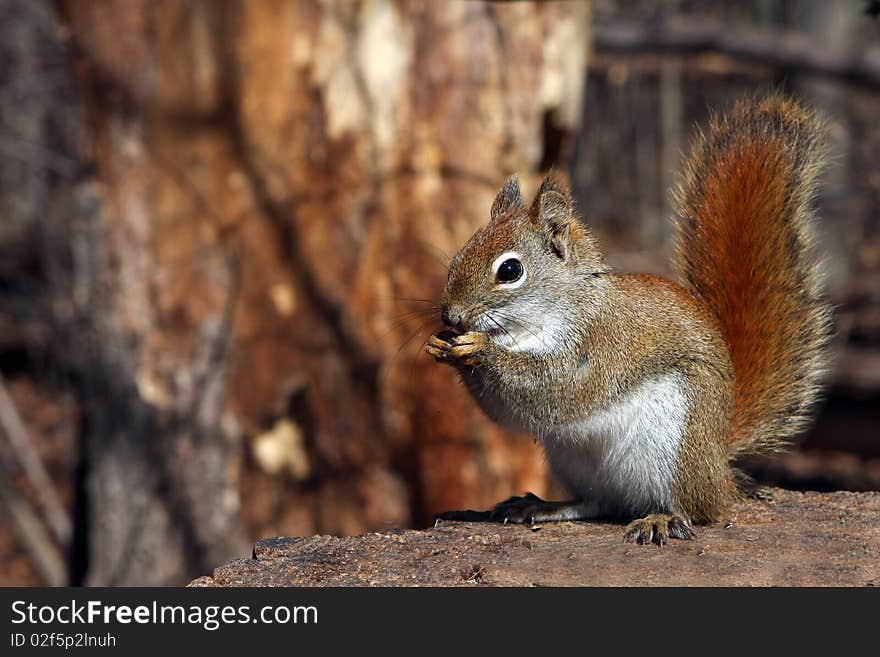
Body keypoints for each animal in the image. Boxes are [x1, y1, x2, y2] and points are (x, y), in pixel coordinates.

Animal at [426, 92, 832, 544]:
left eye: (510, 271)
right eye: (459, 255)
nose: (451, 314)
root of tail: (718, 460)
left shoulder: (597, 345)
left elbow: (549, 388)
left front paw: (478, 348)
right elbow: (507, 411)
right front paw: (440, 343)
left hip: (677, 444)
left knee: (701, 509)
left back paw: (665, 518)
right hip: (575, 460)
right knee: (600, 503)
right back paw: (544, 506)